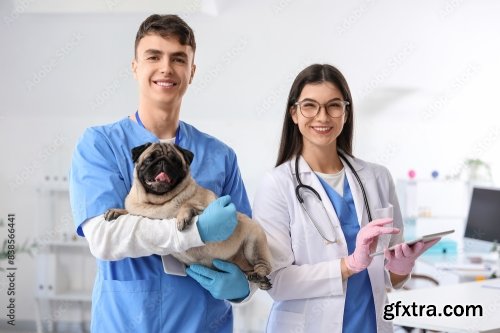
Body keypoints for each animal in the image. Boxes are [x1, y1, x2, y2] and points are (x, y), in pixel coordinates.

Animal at [103, 141, 272, 290]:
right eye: (150, 159)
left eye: (175, 161)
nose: (163, 161)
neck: (158, 202)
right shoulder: (141, 212)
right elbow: (131, 212)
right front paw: (117, 211)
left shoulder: (206, 208)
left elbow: (187, 205)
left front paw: (182, 217)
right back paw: (255, 277)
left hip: (254, 244)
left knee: (264, 266)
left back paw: (260, 277)